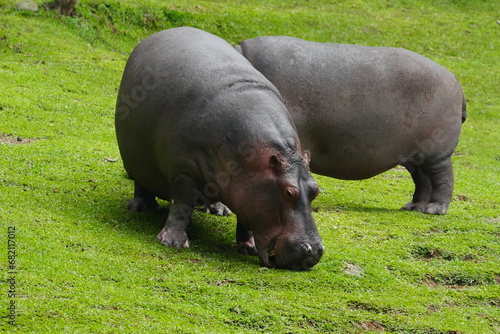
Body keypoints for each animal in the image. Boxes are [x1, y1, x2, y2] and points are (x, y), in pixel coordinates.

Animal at [114, 27, 324, 270]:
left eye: (315, 189)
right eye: (289, 192)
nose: (314, 251)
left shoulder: (249, 189)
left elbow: (247, 219)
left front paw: (249, 248)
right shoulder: (185, 171)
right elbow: (181, 206)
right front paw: (172, 243)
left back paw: (219, 210)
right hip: (136, 157)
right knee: (142, 182)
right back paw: (142, 207)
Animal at [236, 36, 466, 214]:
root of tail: (454, 77)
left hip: (436, 153)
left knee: (443, 177)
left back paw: (434, 209)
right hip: (415, 156)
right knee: (423, 179)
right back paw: (413, 207)